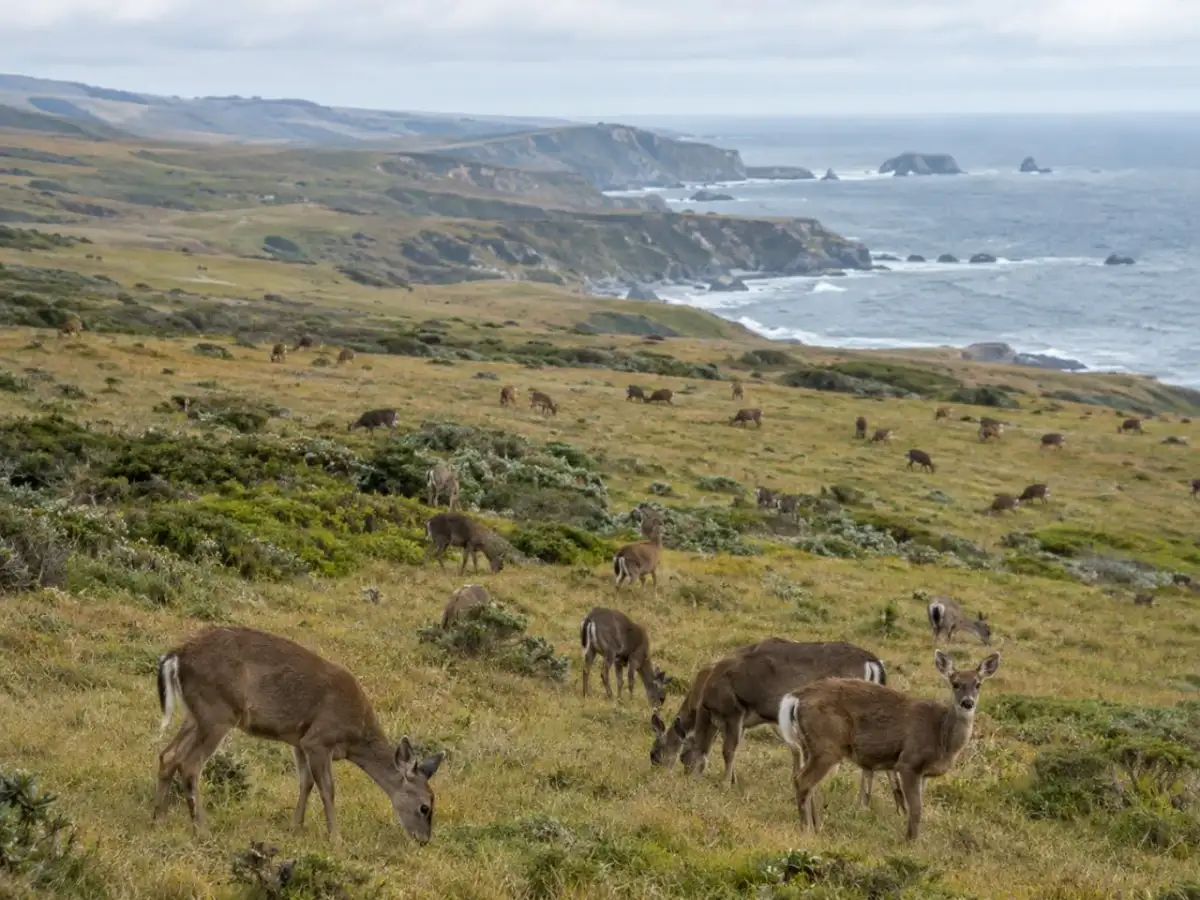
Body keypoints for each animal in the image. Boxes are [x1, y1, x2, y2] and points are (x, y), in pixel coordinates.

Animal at [153, 625, 444, 843]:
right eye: (425, 807)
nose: (423, 839)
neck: (355, 737)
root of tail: (176, 656)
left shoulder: (299, 740)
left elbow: (306, 782)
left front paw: (296, 827)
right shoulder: (318, 739)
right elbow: (328, 788)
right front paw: (335, 838)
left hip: (196, 715)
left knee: (168, 755)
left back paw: (159, 818)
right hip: (217, 713)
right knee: (189, 764)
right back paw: (201, 829)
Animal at [676, 637, 905, 814]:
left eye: (682, 756)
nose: (688, 779)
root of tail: (874, 663)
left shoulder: (735, 711)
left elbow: (728, 750)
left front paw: (725, 785)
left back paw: (866, 805)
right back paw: (893, 807)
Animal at [778, 650, 1001, 840]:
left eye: (978, 684)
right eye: (955, 683)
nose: (967, 702)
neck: (941, 737)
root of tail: (796, 697)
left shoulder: (924, 773)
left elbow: (918, 806)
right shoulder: (908, 762)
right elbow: (916, 809)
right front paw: (910, 842)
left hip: (812, 746)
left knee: (807, 782)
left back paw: (816, 826)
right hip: (827, 744)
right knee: (802, 781)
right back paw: (806, 829)